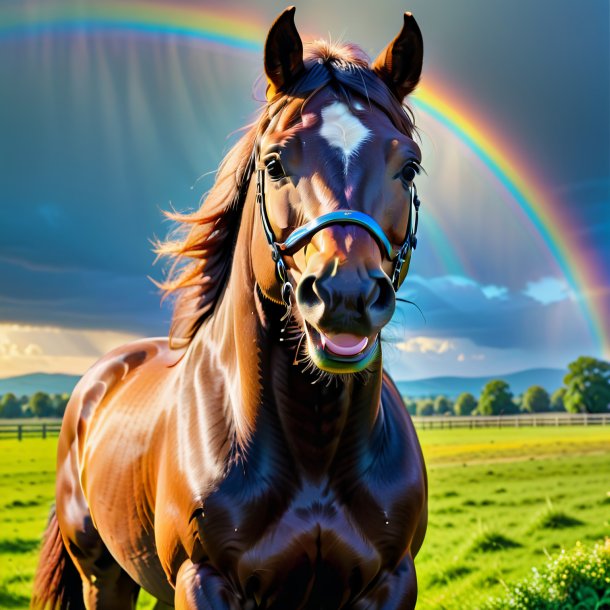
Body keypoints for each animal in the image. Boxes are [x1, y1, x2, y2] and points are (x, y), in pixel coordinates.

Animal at [30, 9, 426, 608]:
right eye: (275, 163)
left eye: (409, 168)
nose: (346, 296)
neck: (314, 454)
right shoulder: (203, 579)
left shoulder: (393, 580)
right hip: (103, 575)